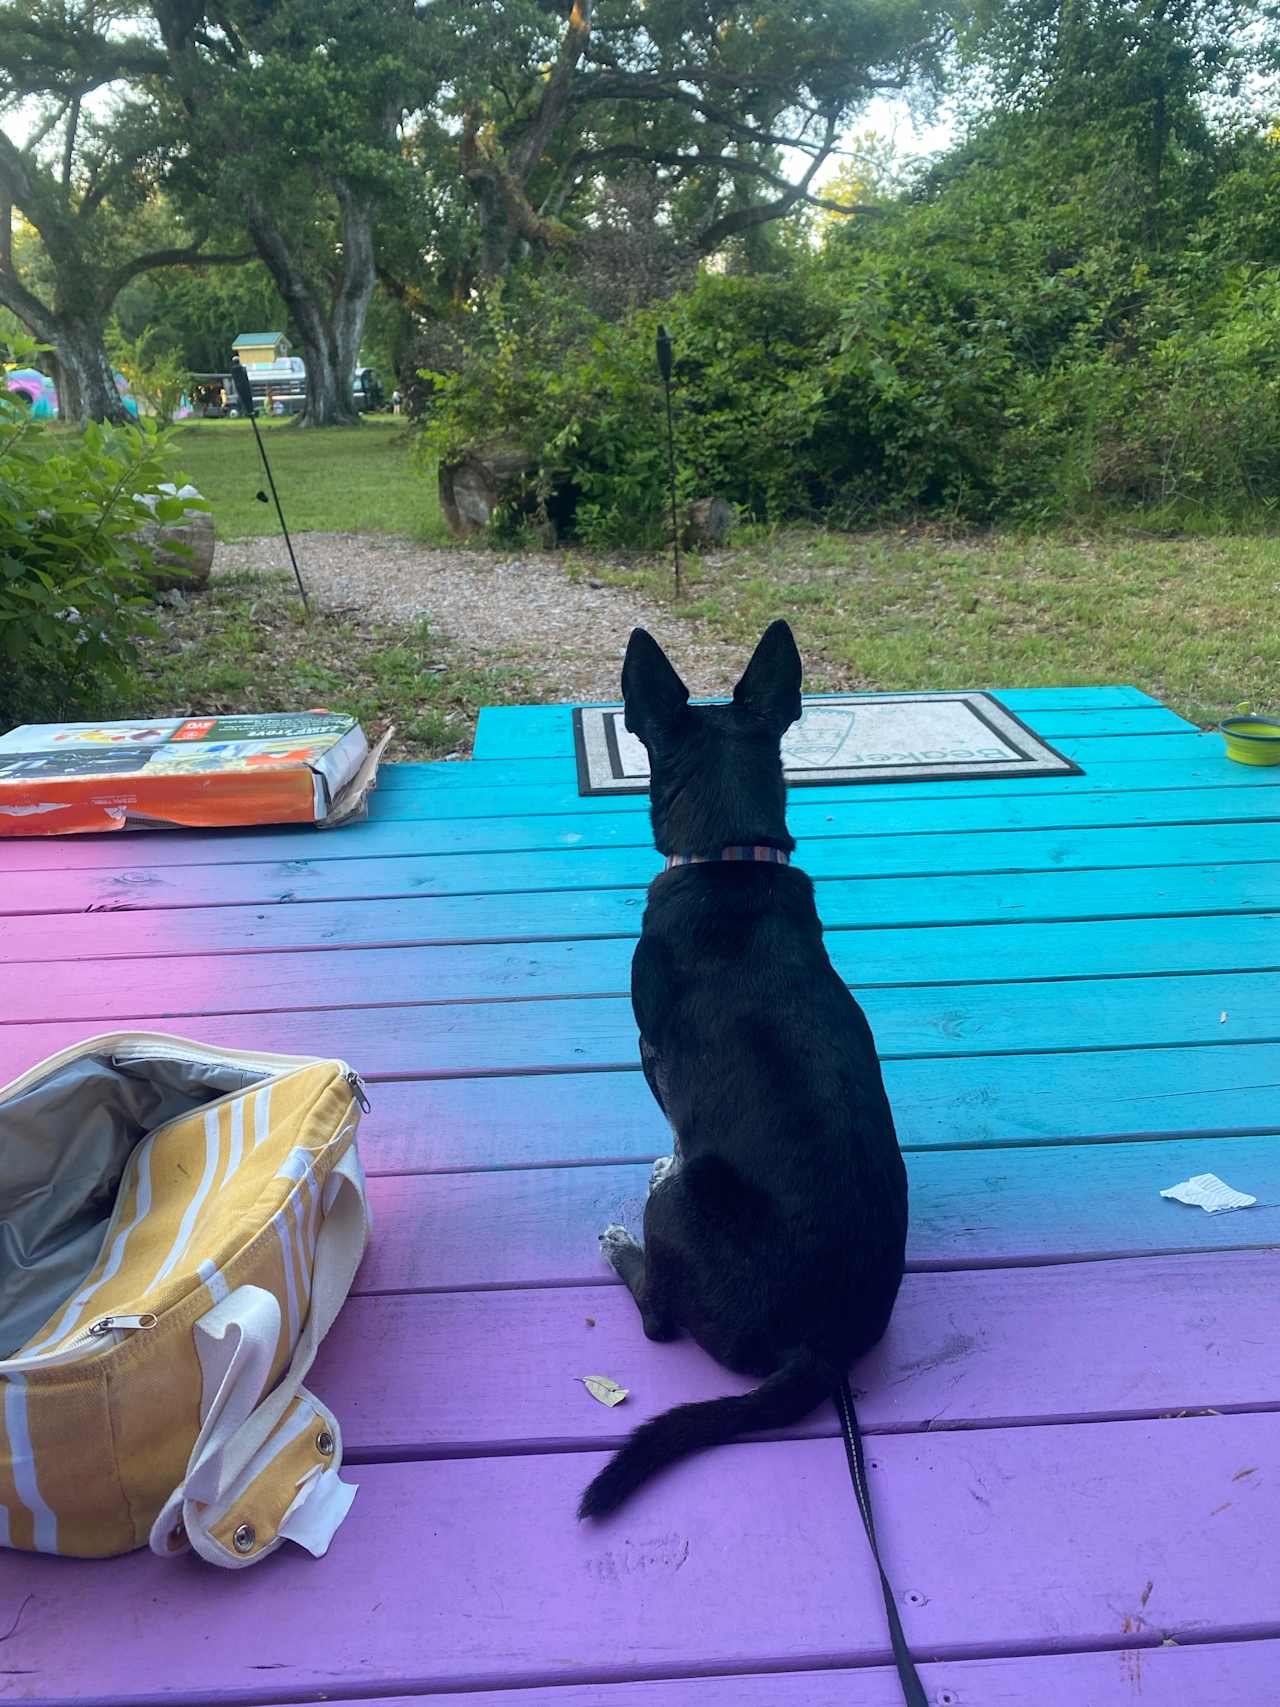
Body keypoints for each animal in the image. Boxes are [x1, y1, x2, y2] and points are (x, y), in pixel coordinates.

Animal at [580, 617, 914, 1522]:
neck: (730, 855)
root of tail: (824, 1342)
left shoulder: (651, 1053)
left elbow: (671, 1122)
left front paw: (661, 1154)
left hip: (688, 1209)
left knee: (660, 1318)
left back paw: (626, 1244)